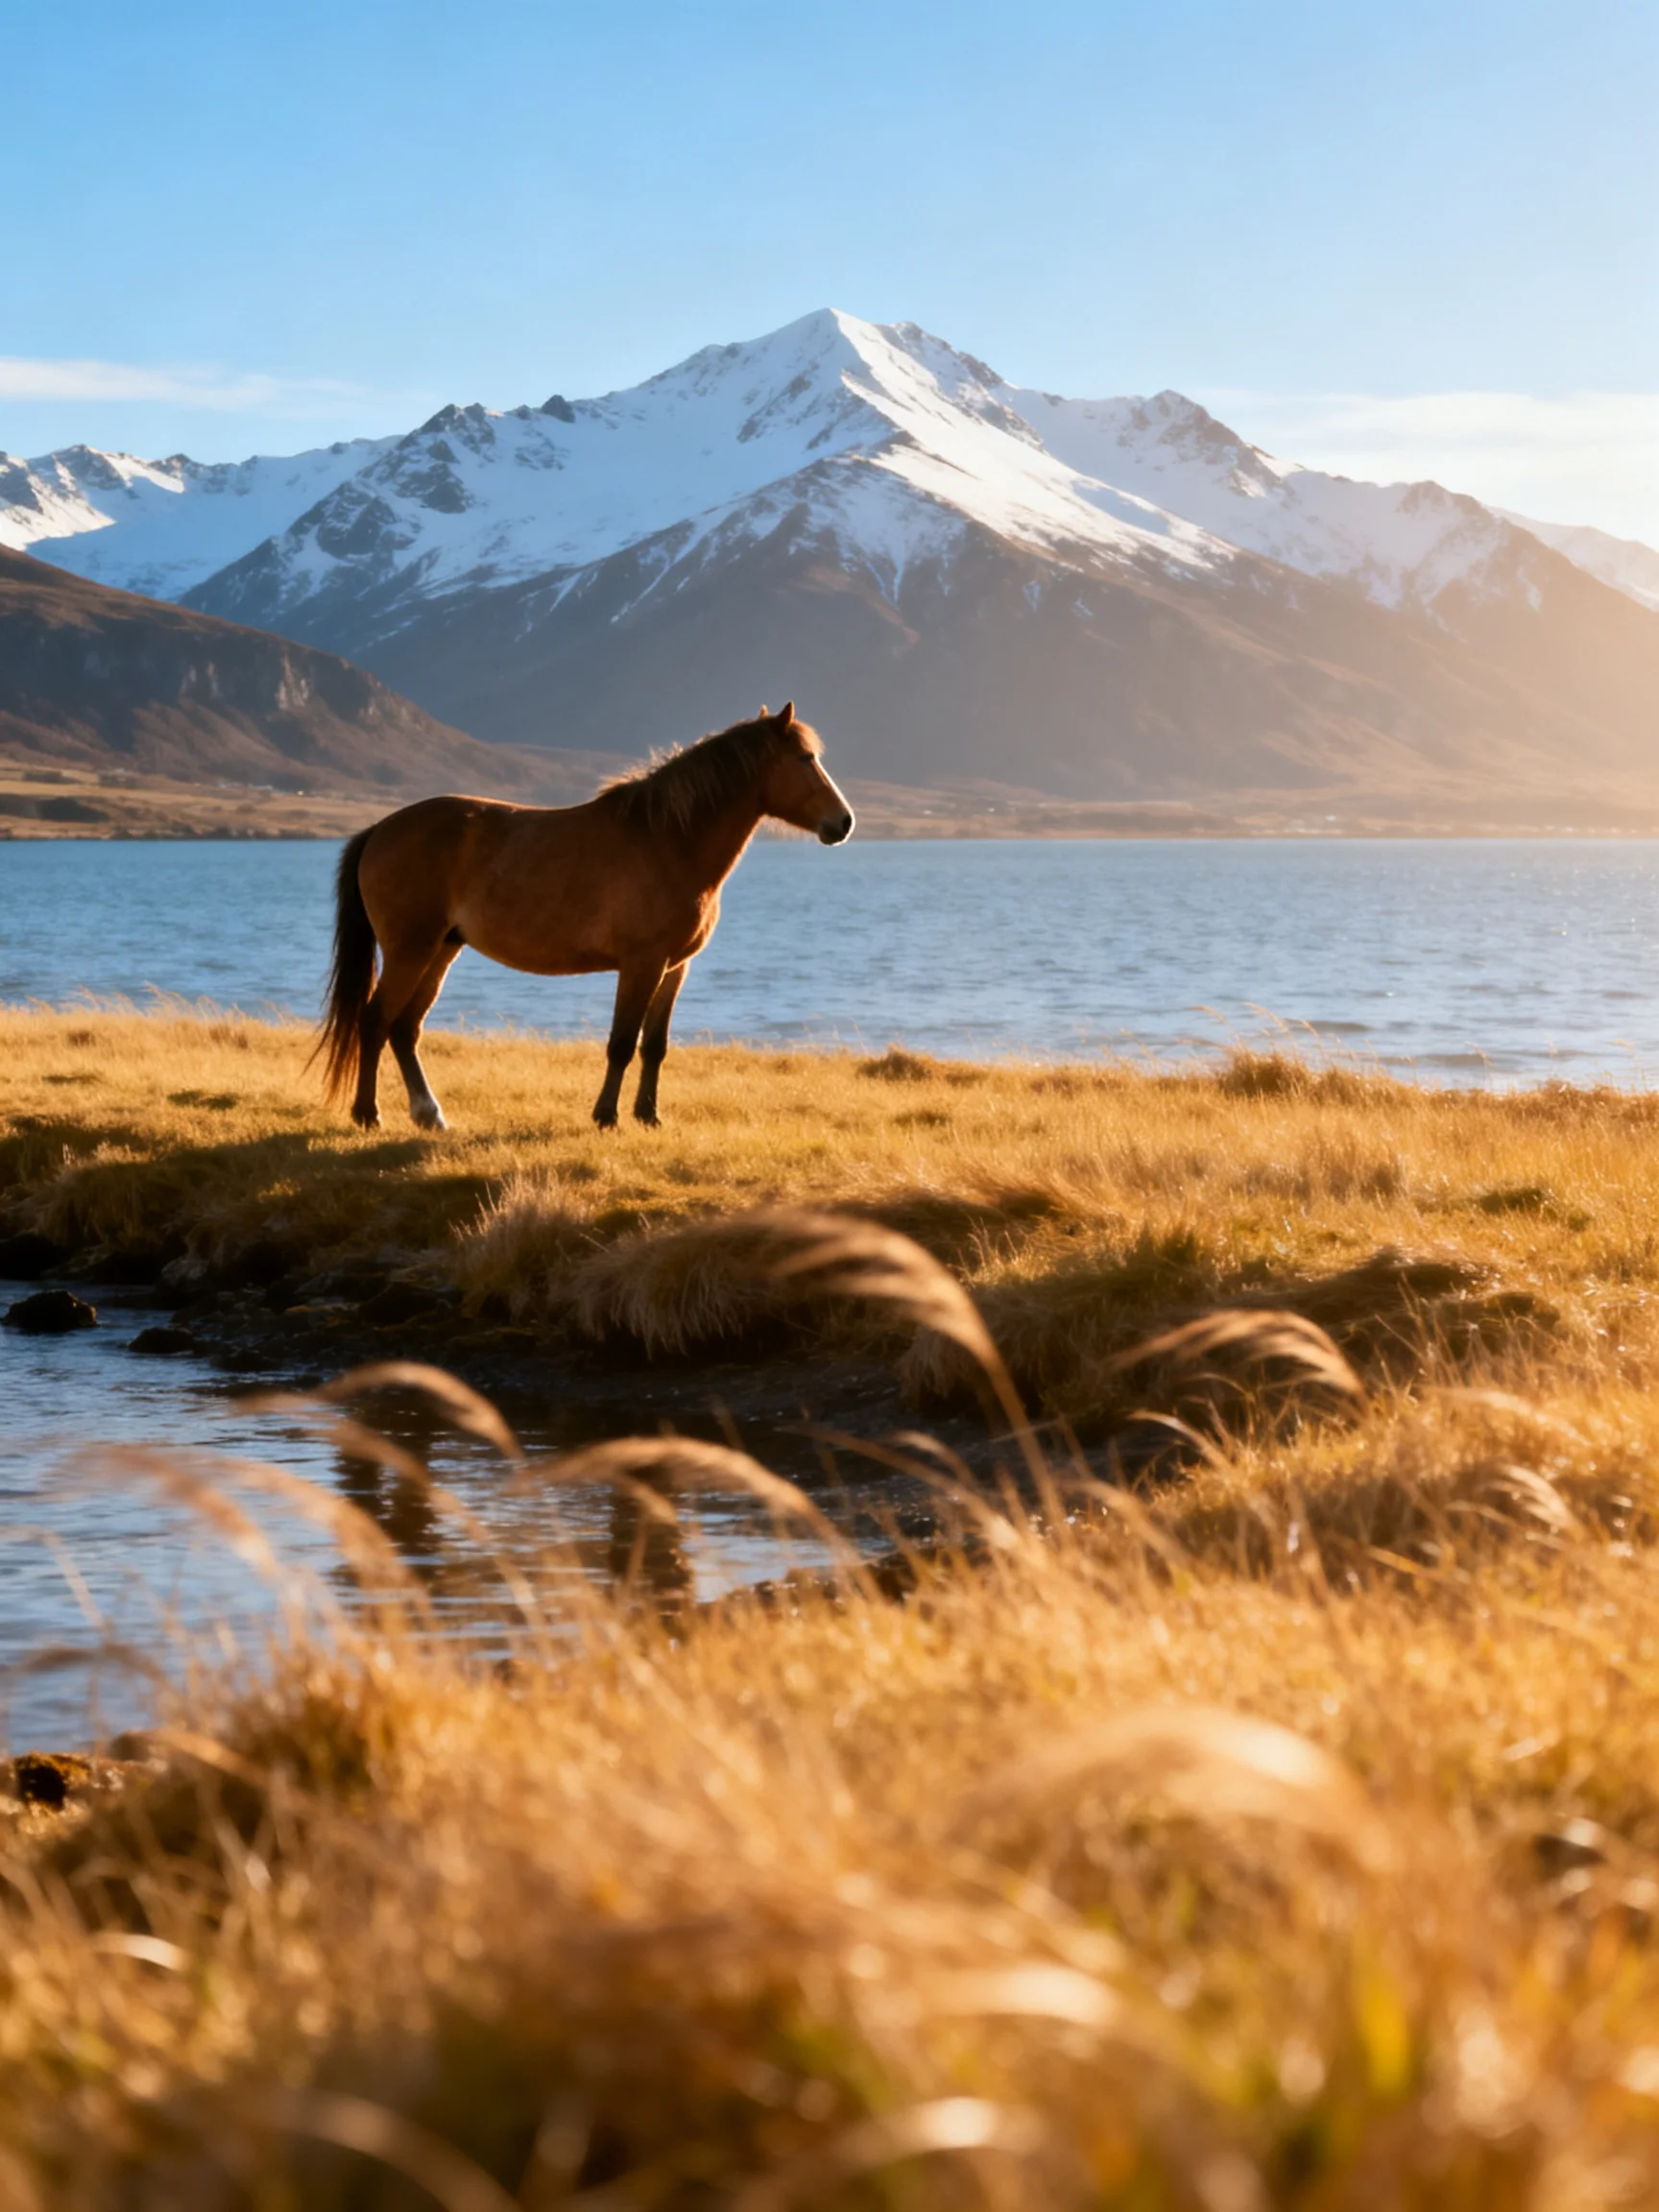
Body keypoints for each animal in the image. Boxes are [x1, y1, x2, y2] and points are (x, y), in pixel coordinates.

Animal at [314, 701, 854, 1132]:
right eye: (805, 759)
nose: (844, 823)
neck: (669, 842)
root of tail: (380, 829)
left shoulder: (675, 967)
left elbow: (654, 1046)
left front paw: (649, 1116)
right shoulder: (642, 964)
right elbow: (622, 1042)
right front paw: (606, 1116)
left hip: (442, 948)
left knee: (405, 1029)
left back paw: (430, 1115)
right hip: (411, 949)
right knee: (375, 1020)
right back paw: (368, 1115)